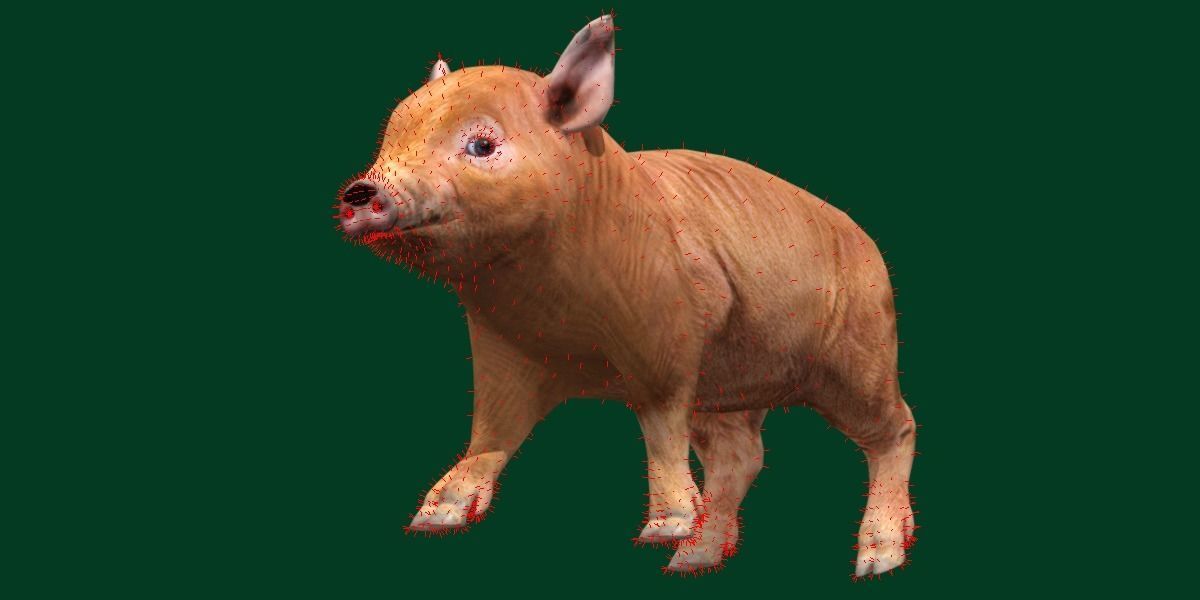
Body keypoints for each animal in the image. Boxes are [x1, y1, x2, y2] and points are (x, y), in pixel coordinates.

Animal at [336, 15, 916, 577]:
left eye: (481, 144)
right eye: (391, 136)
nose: (360, 191)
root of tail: (867, 244)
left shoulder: (672, 334)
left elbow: (659, 420)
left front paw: (662, 529)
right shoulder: (502, 347)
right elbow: (492, 429)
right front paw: (433, 516)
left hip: (858, 354)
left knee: (896, 427)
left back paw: (876, 560)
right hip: (728, 386)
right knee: (742, 455)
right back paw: (692, 561)